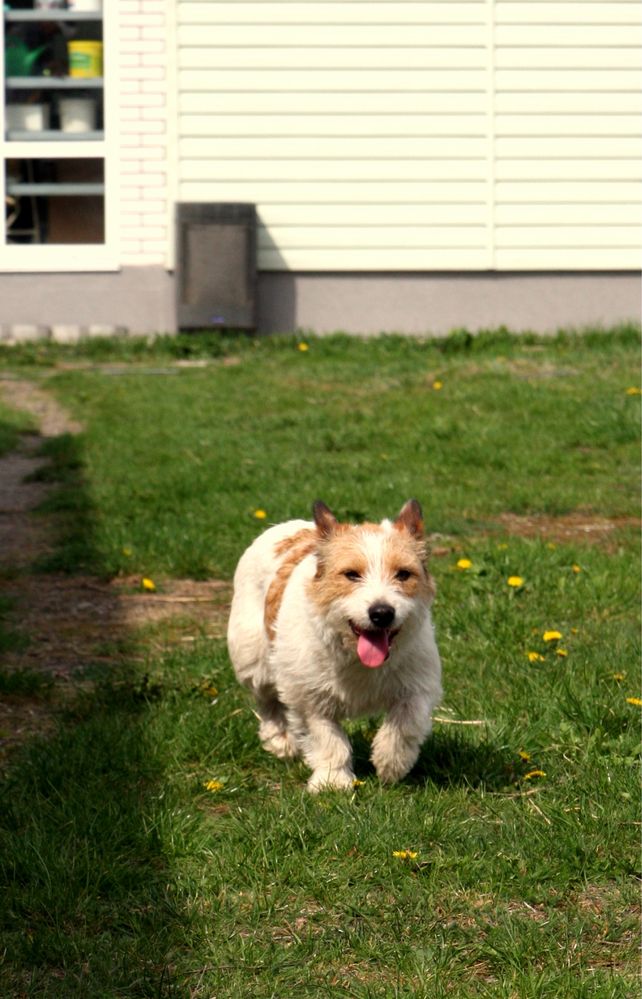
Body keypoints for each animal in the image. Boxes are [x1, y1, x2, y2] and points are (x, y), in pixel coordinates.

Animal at [228, 504, 442, 792]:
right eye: (351, 574)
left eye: (403, 574)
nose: (382, 613)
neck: (355, 658)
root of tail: (284, 526)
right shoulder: (308, 697)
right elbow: (326, 738)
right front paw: (333, 780)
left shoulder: (418, 684)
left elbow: (407, 722)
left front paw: (390, 761)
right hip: (253, 660)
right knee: (268, 701)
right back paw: (280, 739)